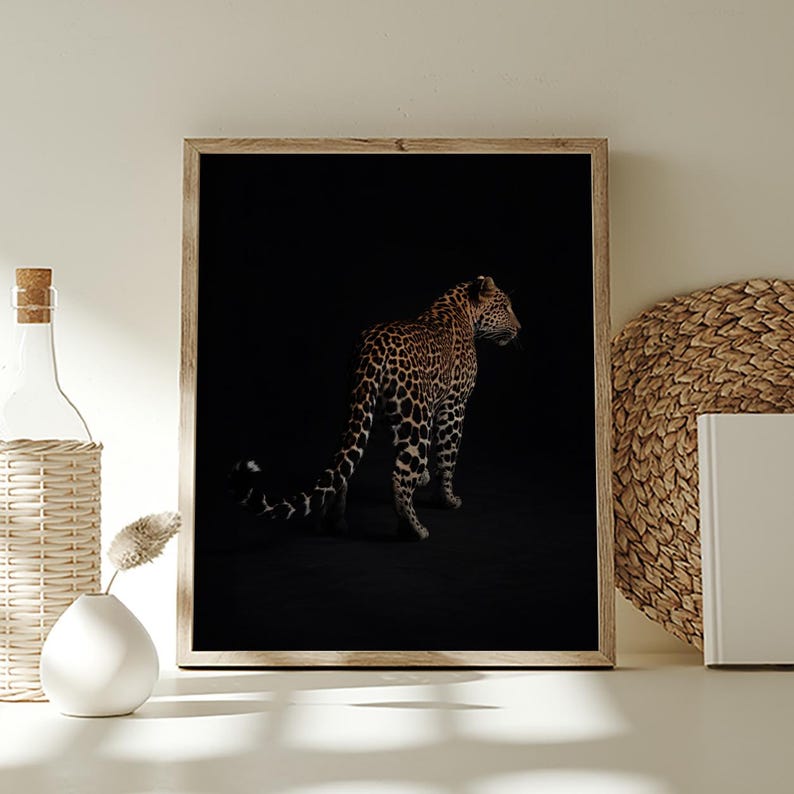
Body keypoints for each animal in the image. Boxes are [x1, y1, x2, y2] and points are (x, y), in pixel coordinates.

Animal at [231, 275, 521, 540]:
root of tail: (371, 350)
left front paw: (426, 479)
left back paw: (333, 523)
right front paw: (447, 499)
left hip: (361, 410)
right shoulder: (453, 407)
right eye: (505, 307)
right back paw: (414, 529)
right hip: (416, 421)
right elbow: (448, 457)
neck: (462, 311)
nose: (519, 328)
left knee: (343, 469)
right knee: (399, 478)